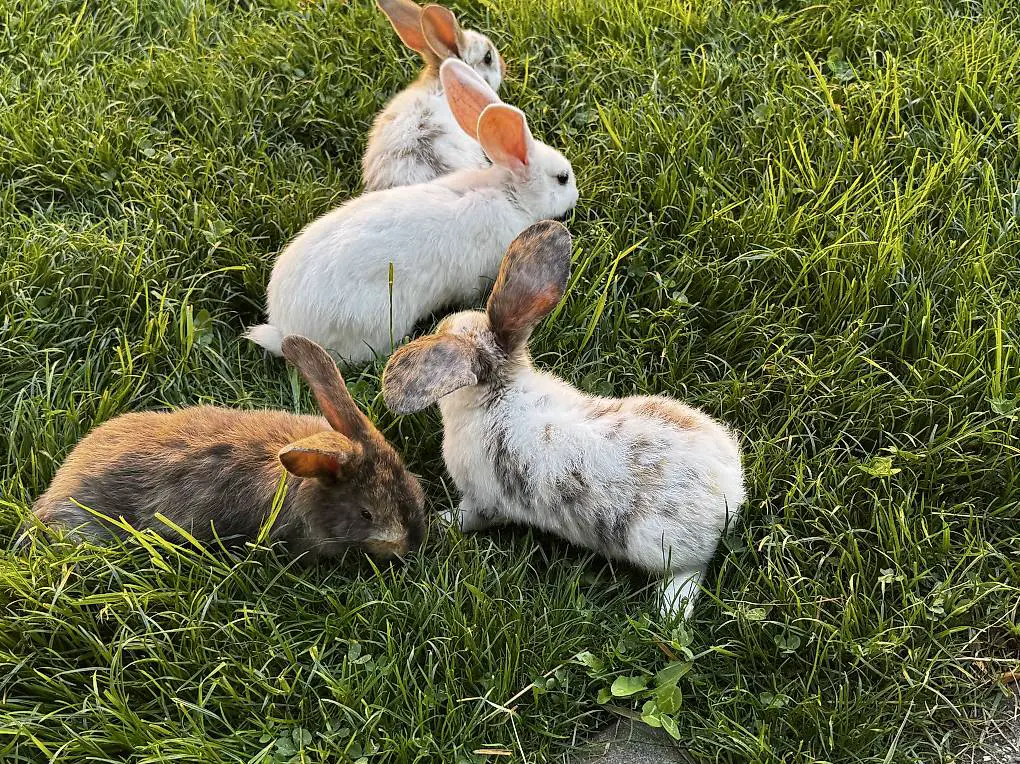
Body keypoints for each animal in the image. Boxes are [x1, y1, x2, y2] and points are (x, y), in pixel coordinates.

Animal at [380, 221, 745, 619]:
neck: (499, 393)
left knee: (690, 570)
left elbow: (470, 518)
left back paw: (669, 610)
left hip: (661, 545)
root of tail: (730, 488)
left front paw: (441, 522)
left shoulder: (482, 499)